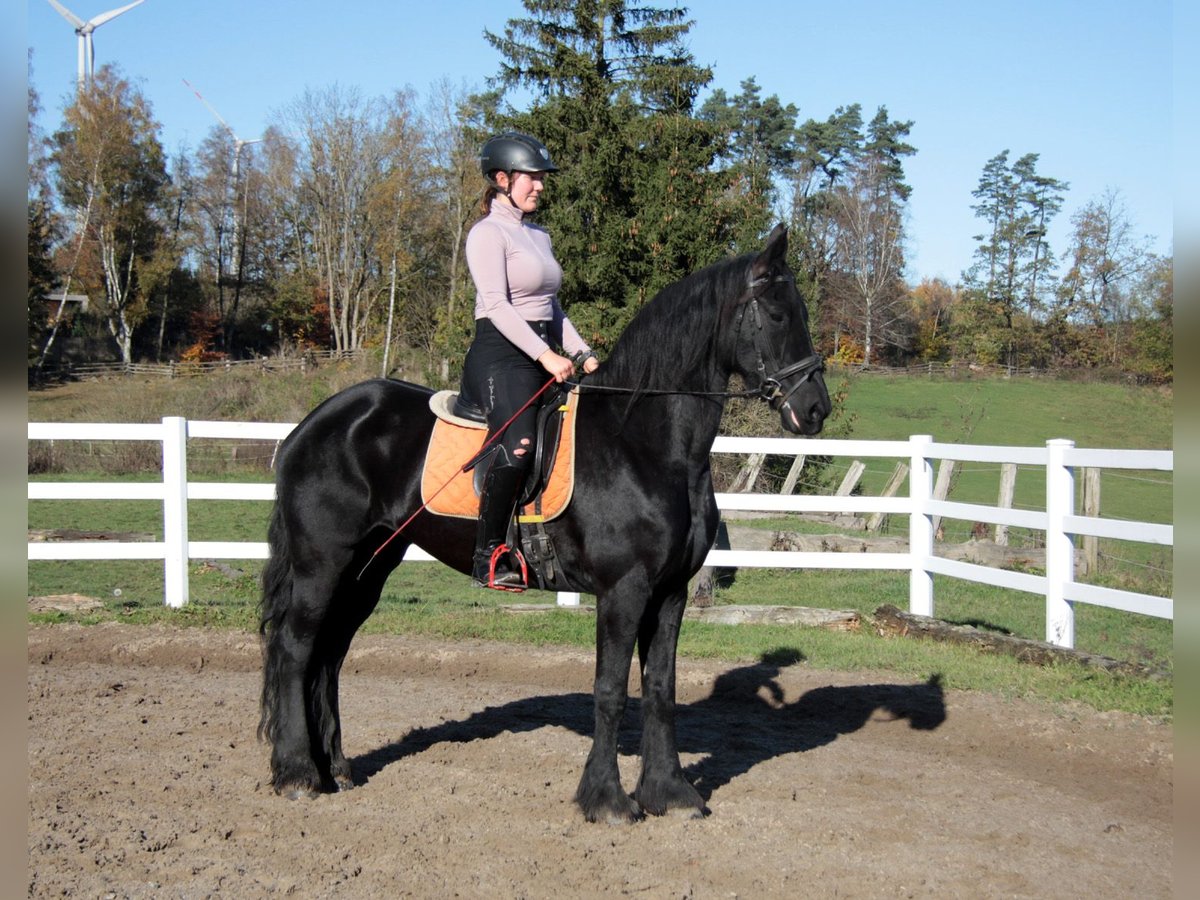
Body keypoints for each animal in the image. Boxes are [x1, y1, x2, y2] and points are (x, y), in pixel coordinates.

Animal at [258, 225, 830, 825]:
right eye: (777, 315)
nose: (817, 409)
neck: (643, 445)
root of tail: (313, 424)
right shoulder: (624, 590)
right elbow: (610, 690)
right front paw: (607, 798)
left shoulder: (670, 592)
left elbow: (660, 688)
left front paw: (670, 793)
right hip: (323, 562)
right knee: (296, 648)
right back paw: (297, 774)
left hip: (370, 566)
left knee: (330, 654)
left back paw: (336, 769)